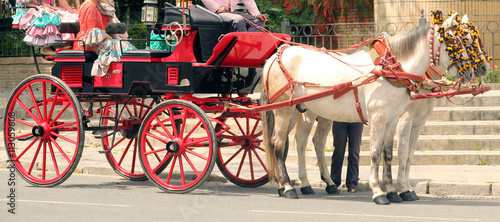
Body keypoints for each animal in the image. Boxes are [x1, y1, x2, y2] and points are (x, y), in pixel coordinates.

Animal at [262, 12, 472, 205]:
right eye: (455, 41)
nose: (473, 72)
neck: (390, 68)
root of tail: (277, 55)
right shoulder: (382, 117)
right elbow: (377, 153)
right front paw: (380, 191)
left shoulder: (393, 119)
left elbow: (390, 154)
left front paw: (393, 191)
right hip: (283, 111)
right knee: (279, 143)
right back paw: (288, 186)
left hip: (299, 110)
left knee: (300, 141)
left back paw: (301, 185)